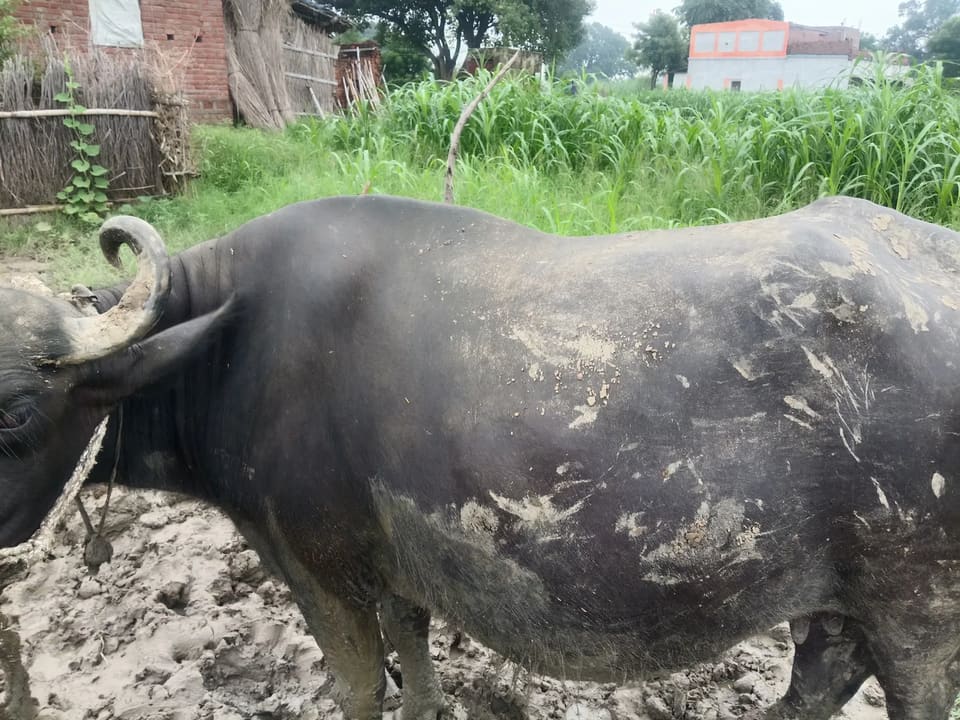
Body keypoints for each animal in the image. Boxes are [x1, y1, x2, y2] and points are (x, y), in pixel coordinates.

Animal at [1, 195, 960, 719]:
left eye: (15, 412)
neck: (225, 344)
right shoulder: (394, 560)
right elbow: (412, 644)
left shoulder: (315, 568)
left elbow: (358, 686)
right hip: (835, 603)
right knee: (818, 683)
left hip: (919, 614)